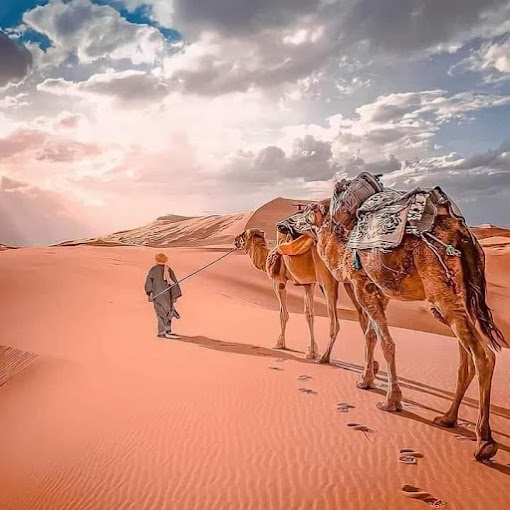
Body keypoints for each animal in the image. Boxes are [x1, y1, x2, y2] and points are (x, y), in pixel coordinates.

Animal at [278, 191, 506, 462]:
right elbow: (371, 335)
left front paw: (391, 400)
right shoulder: (379, 291)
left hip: (443, 292)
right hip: (459, 297)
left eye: (309, 209)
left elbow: (386, 342)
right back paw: (447, 418)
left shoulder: (362, 286)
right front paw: (365, 380)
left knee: (483, 356)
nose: (282, 223)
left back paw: (484, 442)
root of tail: (464, 237)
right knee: (466, 358)